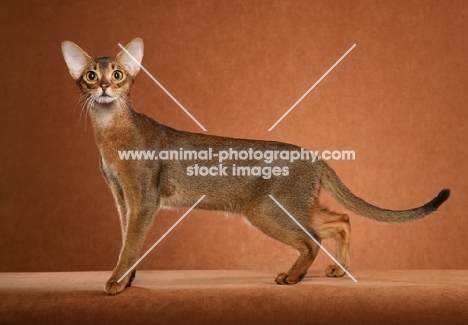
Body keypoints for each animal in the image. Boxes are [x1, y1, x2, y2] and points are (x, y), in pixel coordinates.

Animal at [61, 38, 450, 294]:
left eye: (118, 74)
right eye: (91, 76)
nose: (105, 87)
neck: (110, 131)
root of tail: (312, 154)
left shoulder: (143, 200)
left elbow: (131, 243)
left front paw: (115, 282)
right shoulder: (122, 198)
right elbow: (129, 240)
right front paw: (127, 280)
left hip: (266, 210)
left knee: (312, 238)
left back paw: (292, 277)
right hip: (292, 207)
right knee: (341, 220)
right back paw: (339, 270)